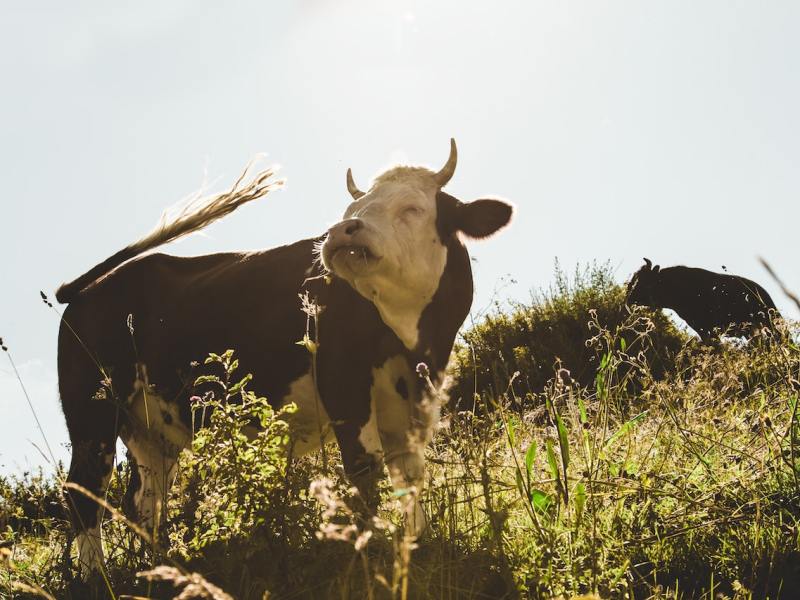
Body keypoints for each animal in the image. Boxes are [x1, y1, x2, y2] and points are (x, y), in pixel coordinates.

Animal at [59, 139, 516, 576]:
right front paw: (373, 552)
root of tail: (90, 287)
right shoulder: (344, 385)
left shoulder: (414, 400)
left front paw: (414, 545)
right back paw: (96, 576)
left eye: (412, 207)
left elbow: (410, 476)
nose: (341, 231)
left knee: (146, 500)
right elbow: (365, 470)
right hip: (92, 412)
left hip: (151, 428)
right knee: (85, 491)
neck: (409, 339)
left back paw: (162, 563)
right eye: (352, 209)